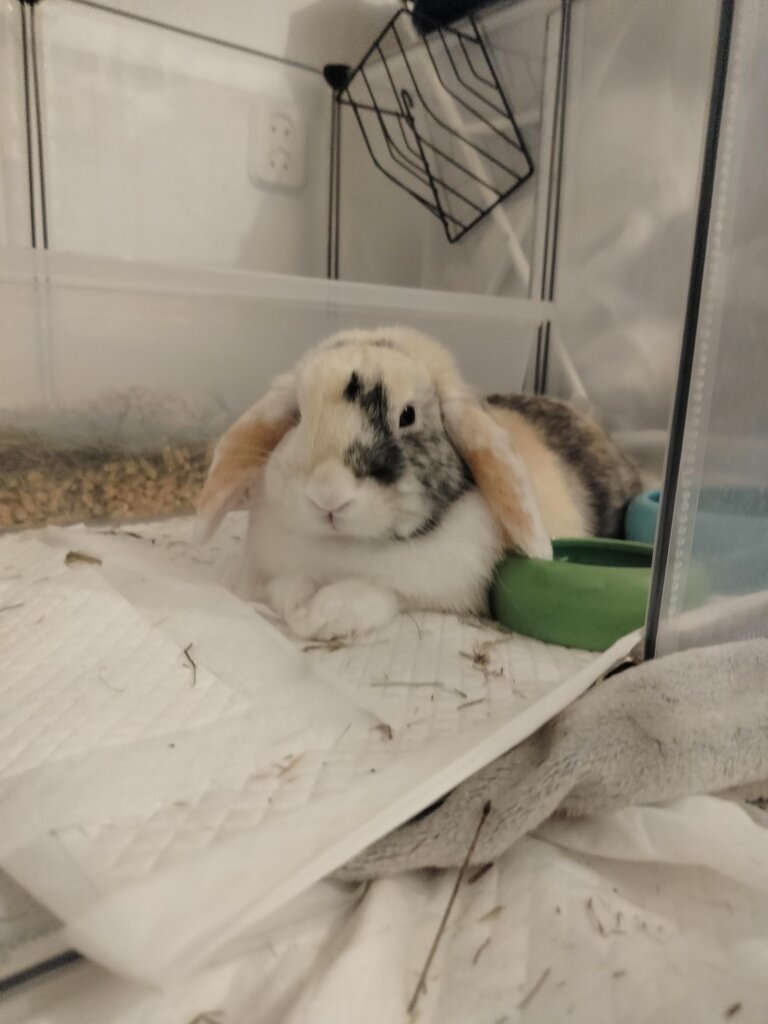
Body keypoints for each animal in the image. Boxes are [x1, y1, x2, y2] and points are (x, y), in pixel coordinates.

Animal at [196, 327, 641, 641]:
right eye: (299, 416)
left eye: (407, 416)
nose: (328, 495)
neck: (347, 546)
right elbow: (287, 584)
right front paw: (296, 605)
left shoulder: (433, 587)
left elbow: (376, 593)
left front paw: (321, 616)